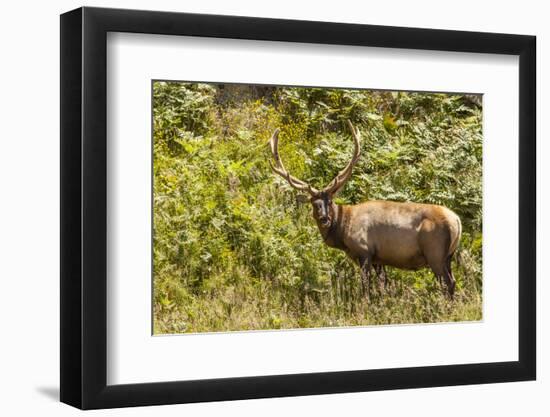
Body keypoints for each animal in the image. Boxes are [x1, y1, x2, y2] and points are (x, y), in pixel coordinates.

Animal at [270, 121, 464, 300]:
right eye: (313, 203)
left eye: (330, 201)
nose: (324, 218)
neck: (343, 231)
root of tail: (457, 221)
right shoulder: (379, 258)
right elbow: (383, 286)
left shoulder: (364, 251)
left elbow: (365, 287)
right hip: (448, 255)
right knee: (453, 281)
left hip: (435, 252)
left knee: (447, 283)